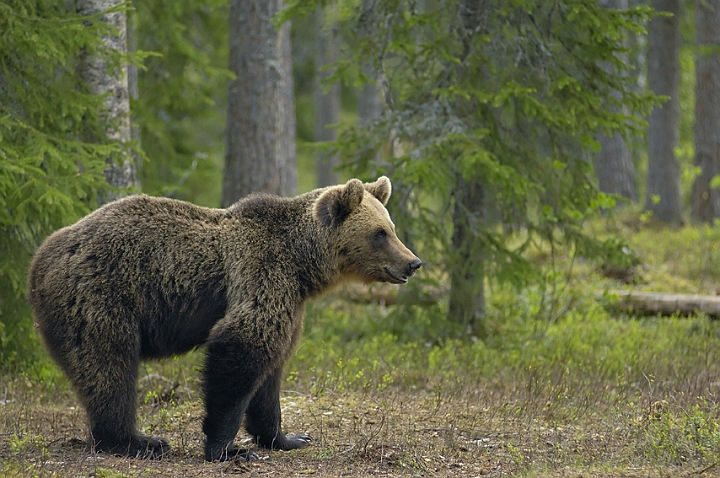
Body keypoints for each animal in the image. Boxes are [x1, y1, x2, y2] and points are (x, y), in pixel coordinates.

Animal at [28, 177, 422, 462]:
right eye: (379, 233)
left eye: (391, 226)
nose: (413, 262)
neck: (302, 266)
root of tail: (39, 260)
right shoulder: (260, 273)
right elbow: (241, 346)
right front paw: (229, 449)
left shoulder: (291, 301)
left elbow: (272, 372)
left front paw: (288, 437)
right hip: (100, 297)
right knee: (109, 366)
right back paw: (139, 441)